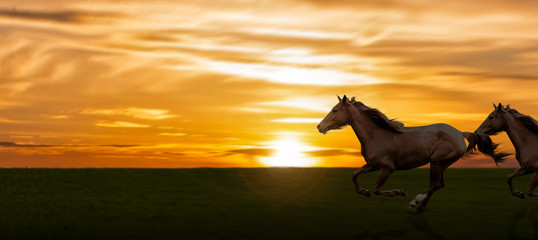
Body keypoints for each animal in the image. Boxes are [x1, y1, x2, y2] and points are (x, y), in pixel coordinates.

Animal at [314, 95, 506, 212]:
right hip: (440, 164)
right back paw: (419, 208)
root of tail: (460, 133)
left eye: (335, 110)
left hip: (437, 162)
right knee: (438, 185)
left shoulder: (387, 168)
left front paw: (400, 191)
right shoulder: (372, 165)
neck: (377, 135)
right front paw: (364, 192)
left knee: (436, 185)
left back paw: (415, 201)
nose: (319, 127)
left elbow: (377, 189)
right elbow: (354, 175)